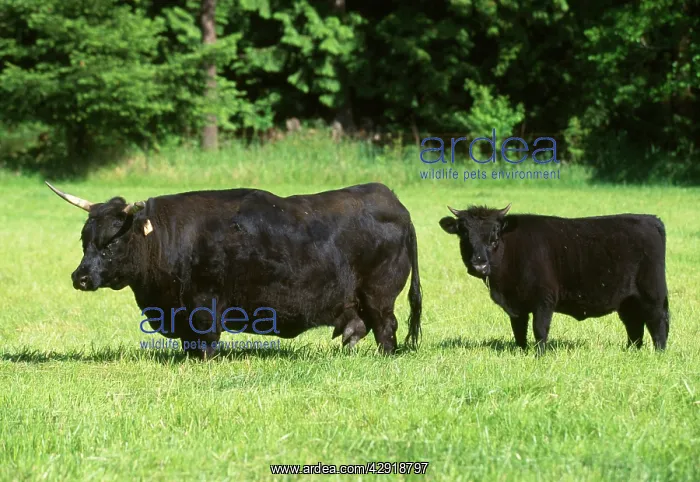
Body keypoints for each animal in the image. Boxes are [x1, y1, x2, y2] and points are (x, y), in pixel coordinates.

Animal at [46, 181, 422, 358]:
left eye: (110, 244)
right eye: (85, 241)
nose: (80, 277)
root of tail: (394, 203)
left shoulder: (204, 306)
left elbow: (206, 339)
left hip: (379, 295)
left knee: (386, 328)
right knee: (359, 325)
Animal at [439, 203, 669, 354]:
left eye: (495, 235)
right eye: (464, 234)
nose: (479, 265)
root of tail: (651, 219)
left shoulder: (544, 299)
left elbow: (539, 329)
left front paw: (539, 355)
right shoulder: (516, 306)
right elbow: (519, 330)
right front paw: (521, 351)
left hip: (651, 293)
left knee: (658, 322)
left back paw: (659, 353)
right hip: (628, 299)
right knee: (634, 324)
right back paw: (631, 351)